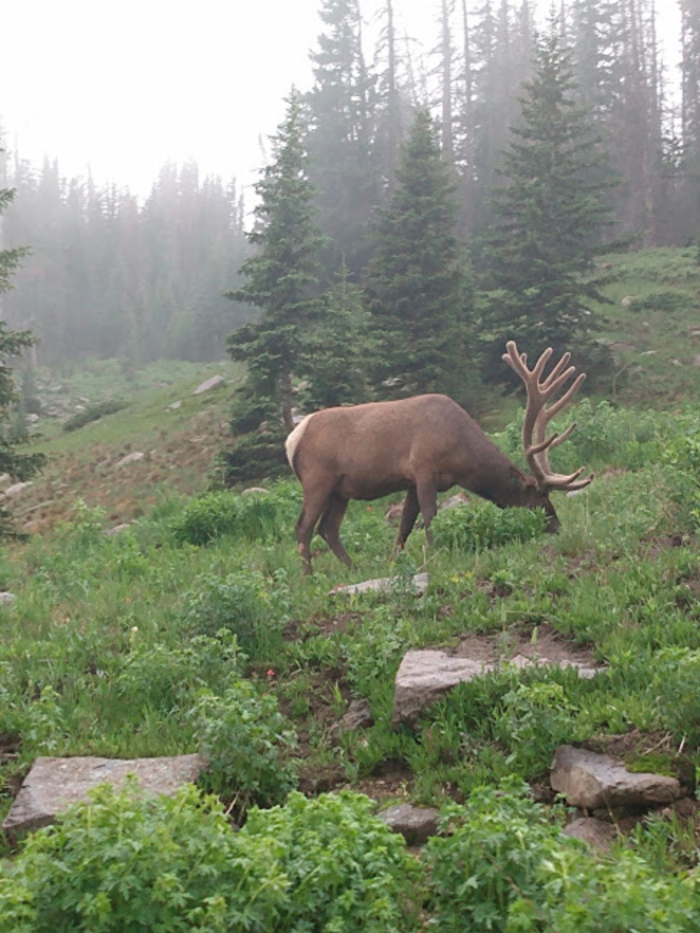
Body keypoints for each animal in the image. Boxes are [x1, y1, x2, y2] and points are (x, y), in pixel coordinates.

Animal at [285, 341, 593, 574]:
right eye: (538, 499)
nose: (557, 526)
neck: (462, 458)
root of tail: (291, 441)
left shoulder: (411, 480)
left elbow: (405, 525)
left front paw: (395, 562)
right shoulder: (424, 469)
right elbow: (430, 518)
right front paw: (435, 556)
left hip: (341, 490)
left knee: (328, 528)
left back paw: (353, 569)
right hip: (317, 479)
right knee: (303, 528)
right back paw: (308, 577)